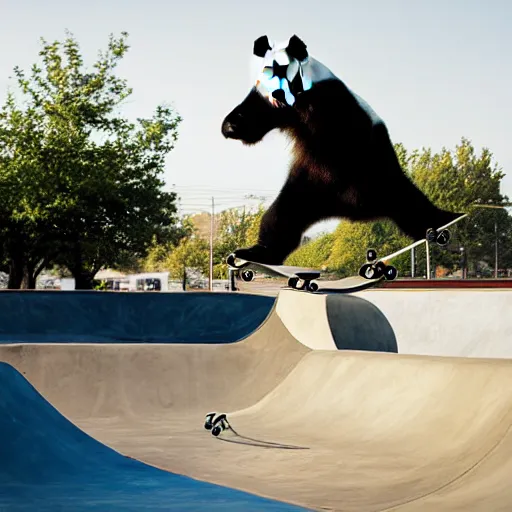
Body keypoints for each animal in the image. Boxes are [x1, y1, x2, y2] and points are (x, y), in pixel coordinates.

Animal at [222, 34, 462, 266]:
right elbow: (256, 114)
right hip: (310, 189)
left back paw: (447, 221)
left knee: (410, 203)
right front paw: (231, 125)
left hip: (376, 174)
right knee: (282, 215)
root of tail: (348, 208)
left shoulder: (332, 104)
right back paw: (257, 252)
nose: (278, 95)